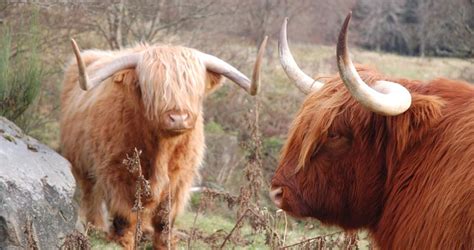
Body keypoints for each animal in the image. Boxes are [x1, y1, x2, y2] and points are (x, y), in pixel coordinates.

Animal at [60, 37, 266, 248]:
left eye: (193, 89)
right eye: (153, 87)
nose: (178, 118)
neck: (162, 148)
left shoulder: (179, 180)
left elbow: (164, 221)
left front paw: (164, 243)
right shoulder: (117, 172)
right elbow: (125, 218)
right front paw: (124, 242)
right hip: (81, 164)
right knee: (91, 194)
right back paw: (97, 227)